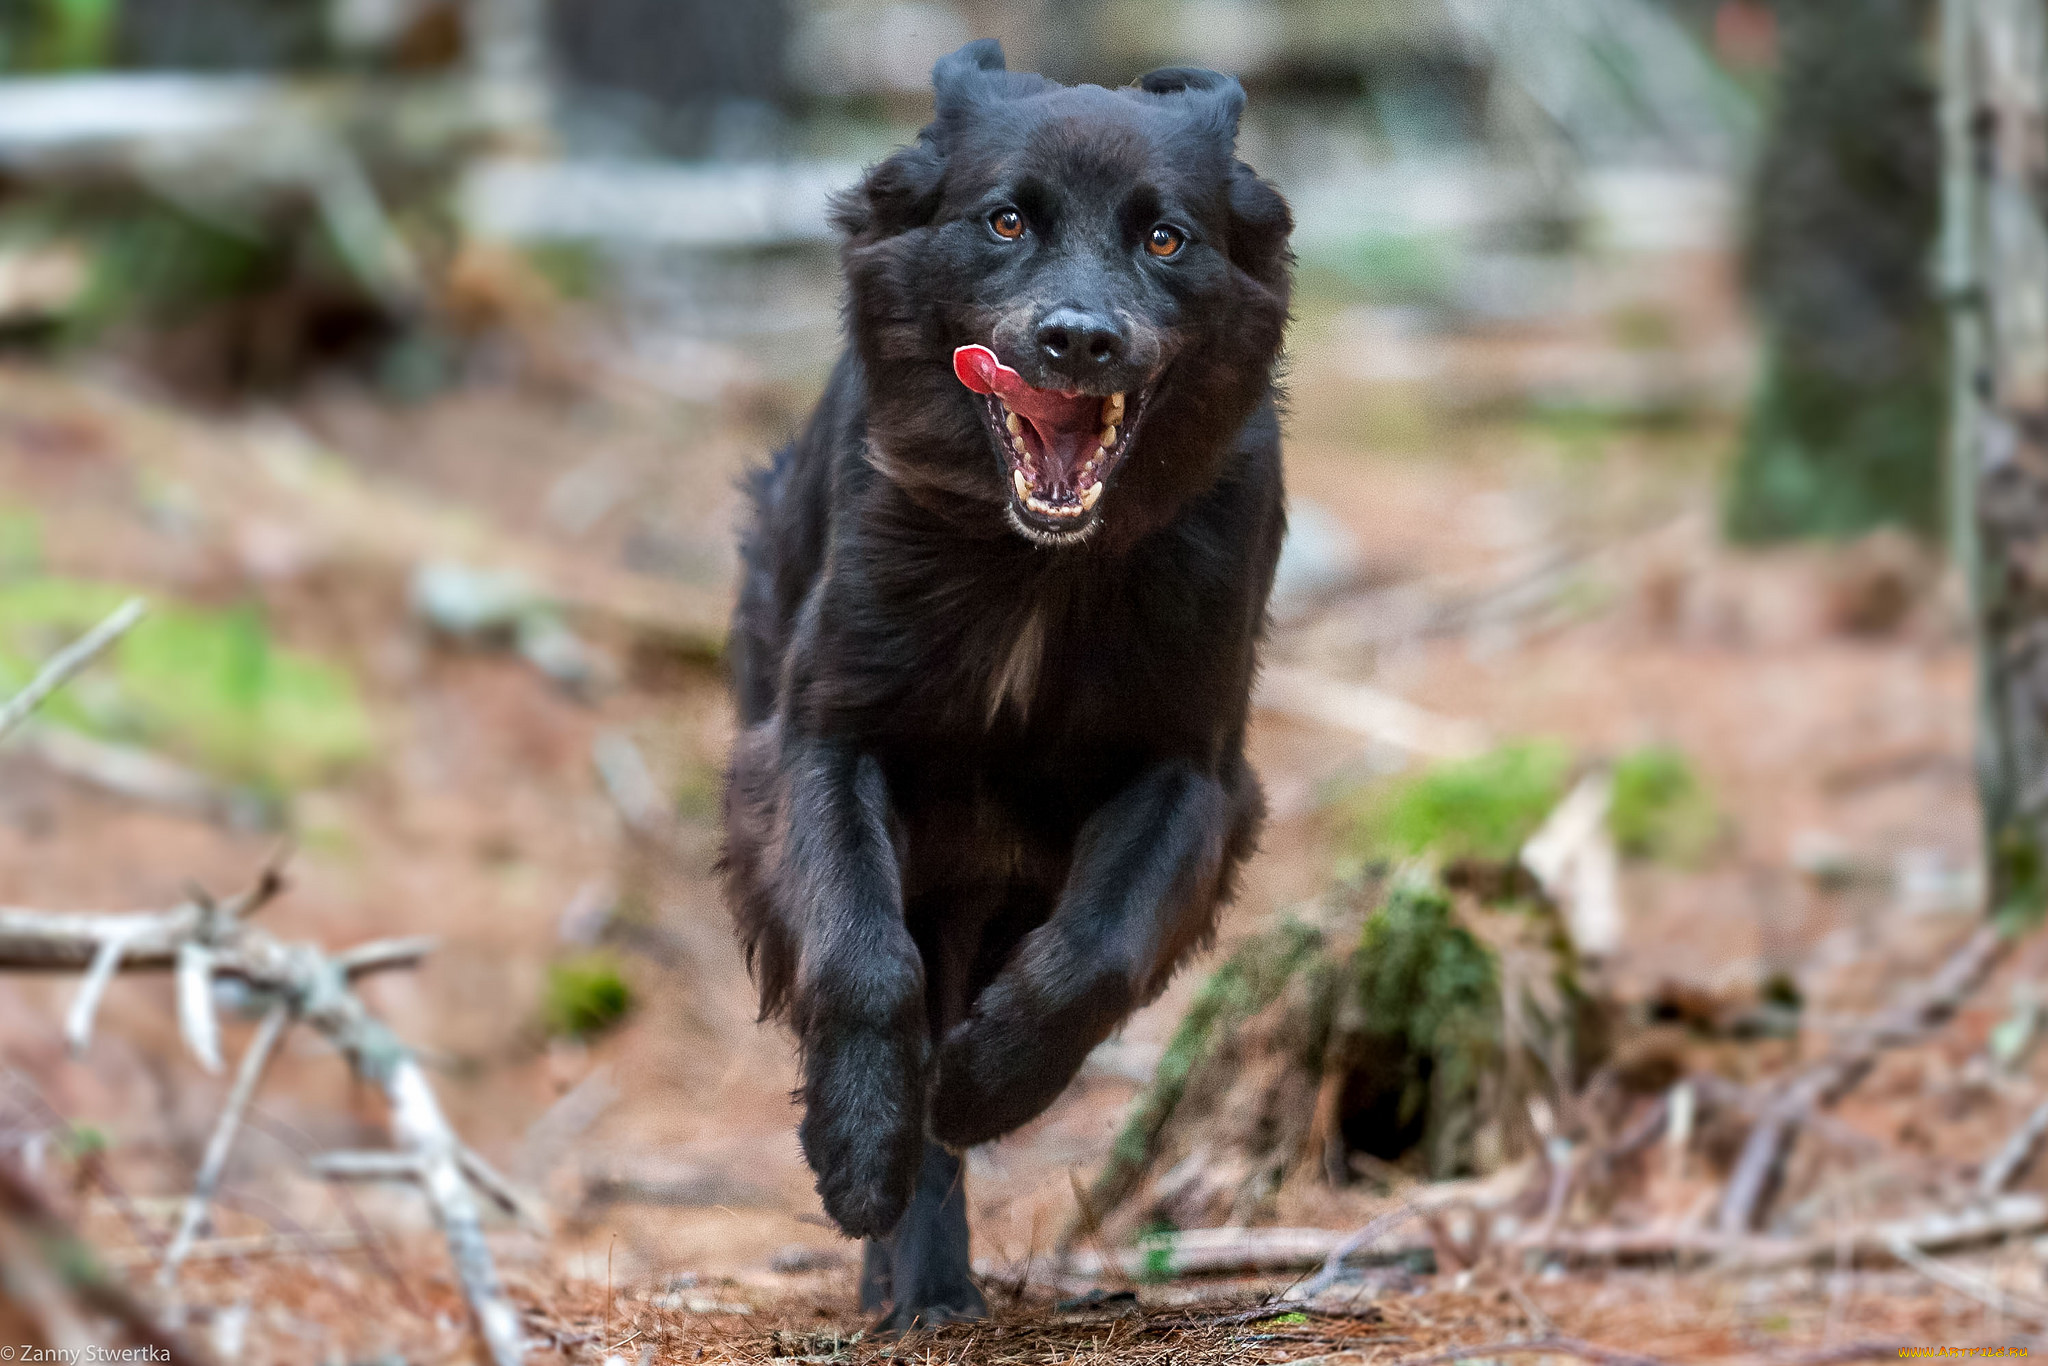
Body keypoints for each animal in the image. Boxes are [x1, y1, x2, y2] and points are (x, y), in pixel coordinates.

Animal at [729, 37, 1286, 1327]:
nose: (1076, 340)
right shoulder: (822, 740)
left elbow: (1094, 951)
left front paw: (984, 1083)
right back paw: (909, 1273)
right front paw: (857, 1151)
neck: (1035, 565)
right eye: (1003, 220)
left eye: (1165, 238)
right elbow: (861, 958)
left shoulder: (1190, 770)